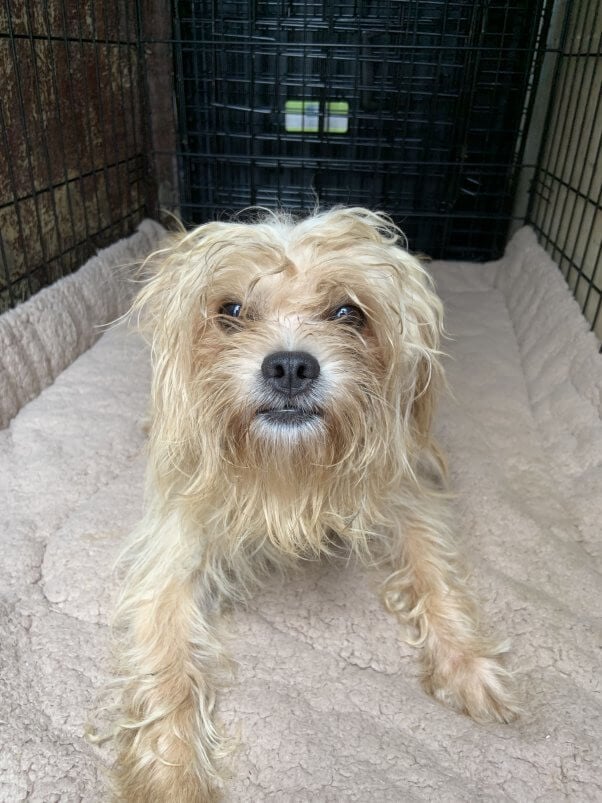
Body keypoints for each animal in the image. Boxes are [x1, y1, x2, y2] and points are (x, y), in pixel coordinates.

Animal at [109, 209, 516, 803]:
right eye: (231, 310)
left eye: (348, 312)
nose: (289, 367)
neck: (291, 474)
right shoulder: (176, 548)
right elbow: (167, 664)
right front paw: (175, 772)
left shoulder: (406, 499)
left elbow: (434, 572)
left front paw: (467, 663)